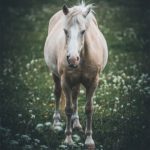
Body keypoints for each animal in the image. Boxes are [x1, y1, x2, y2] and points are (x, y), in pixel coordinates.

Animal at [43, 2, 108, 149]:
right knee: (57, 93)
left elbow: (89, 109)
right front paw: (68, 139)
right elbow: (68, 108)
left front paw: (89, 140)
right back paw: (56, 123)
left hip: (77, 82)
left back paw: (77, 123)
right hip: (55, 76)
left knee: (76, 95)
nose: (72, 59)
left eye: (83, 31)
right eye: (65, 31)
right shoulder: (66, 82)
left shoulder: (93, 83)